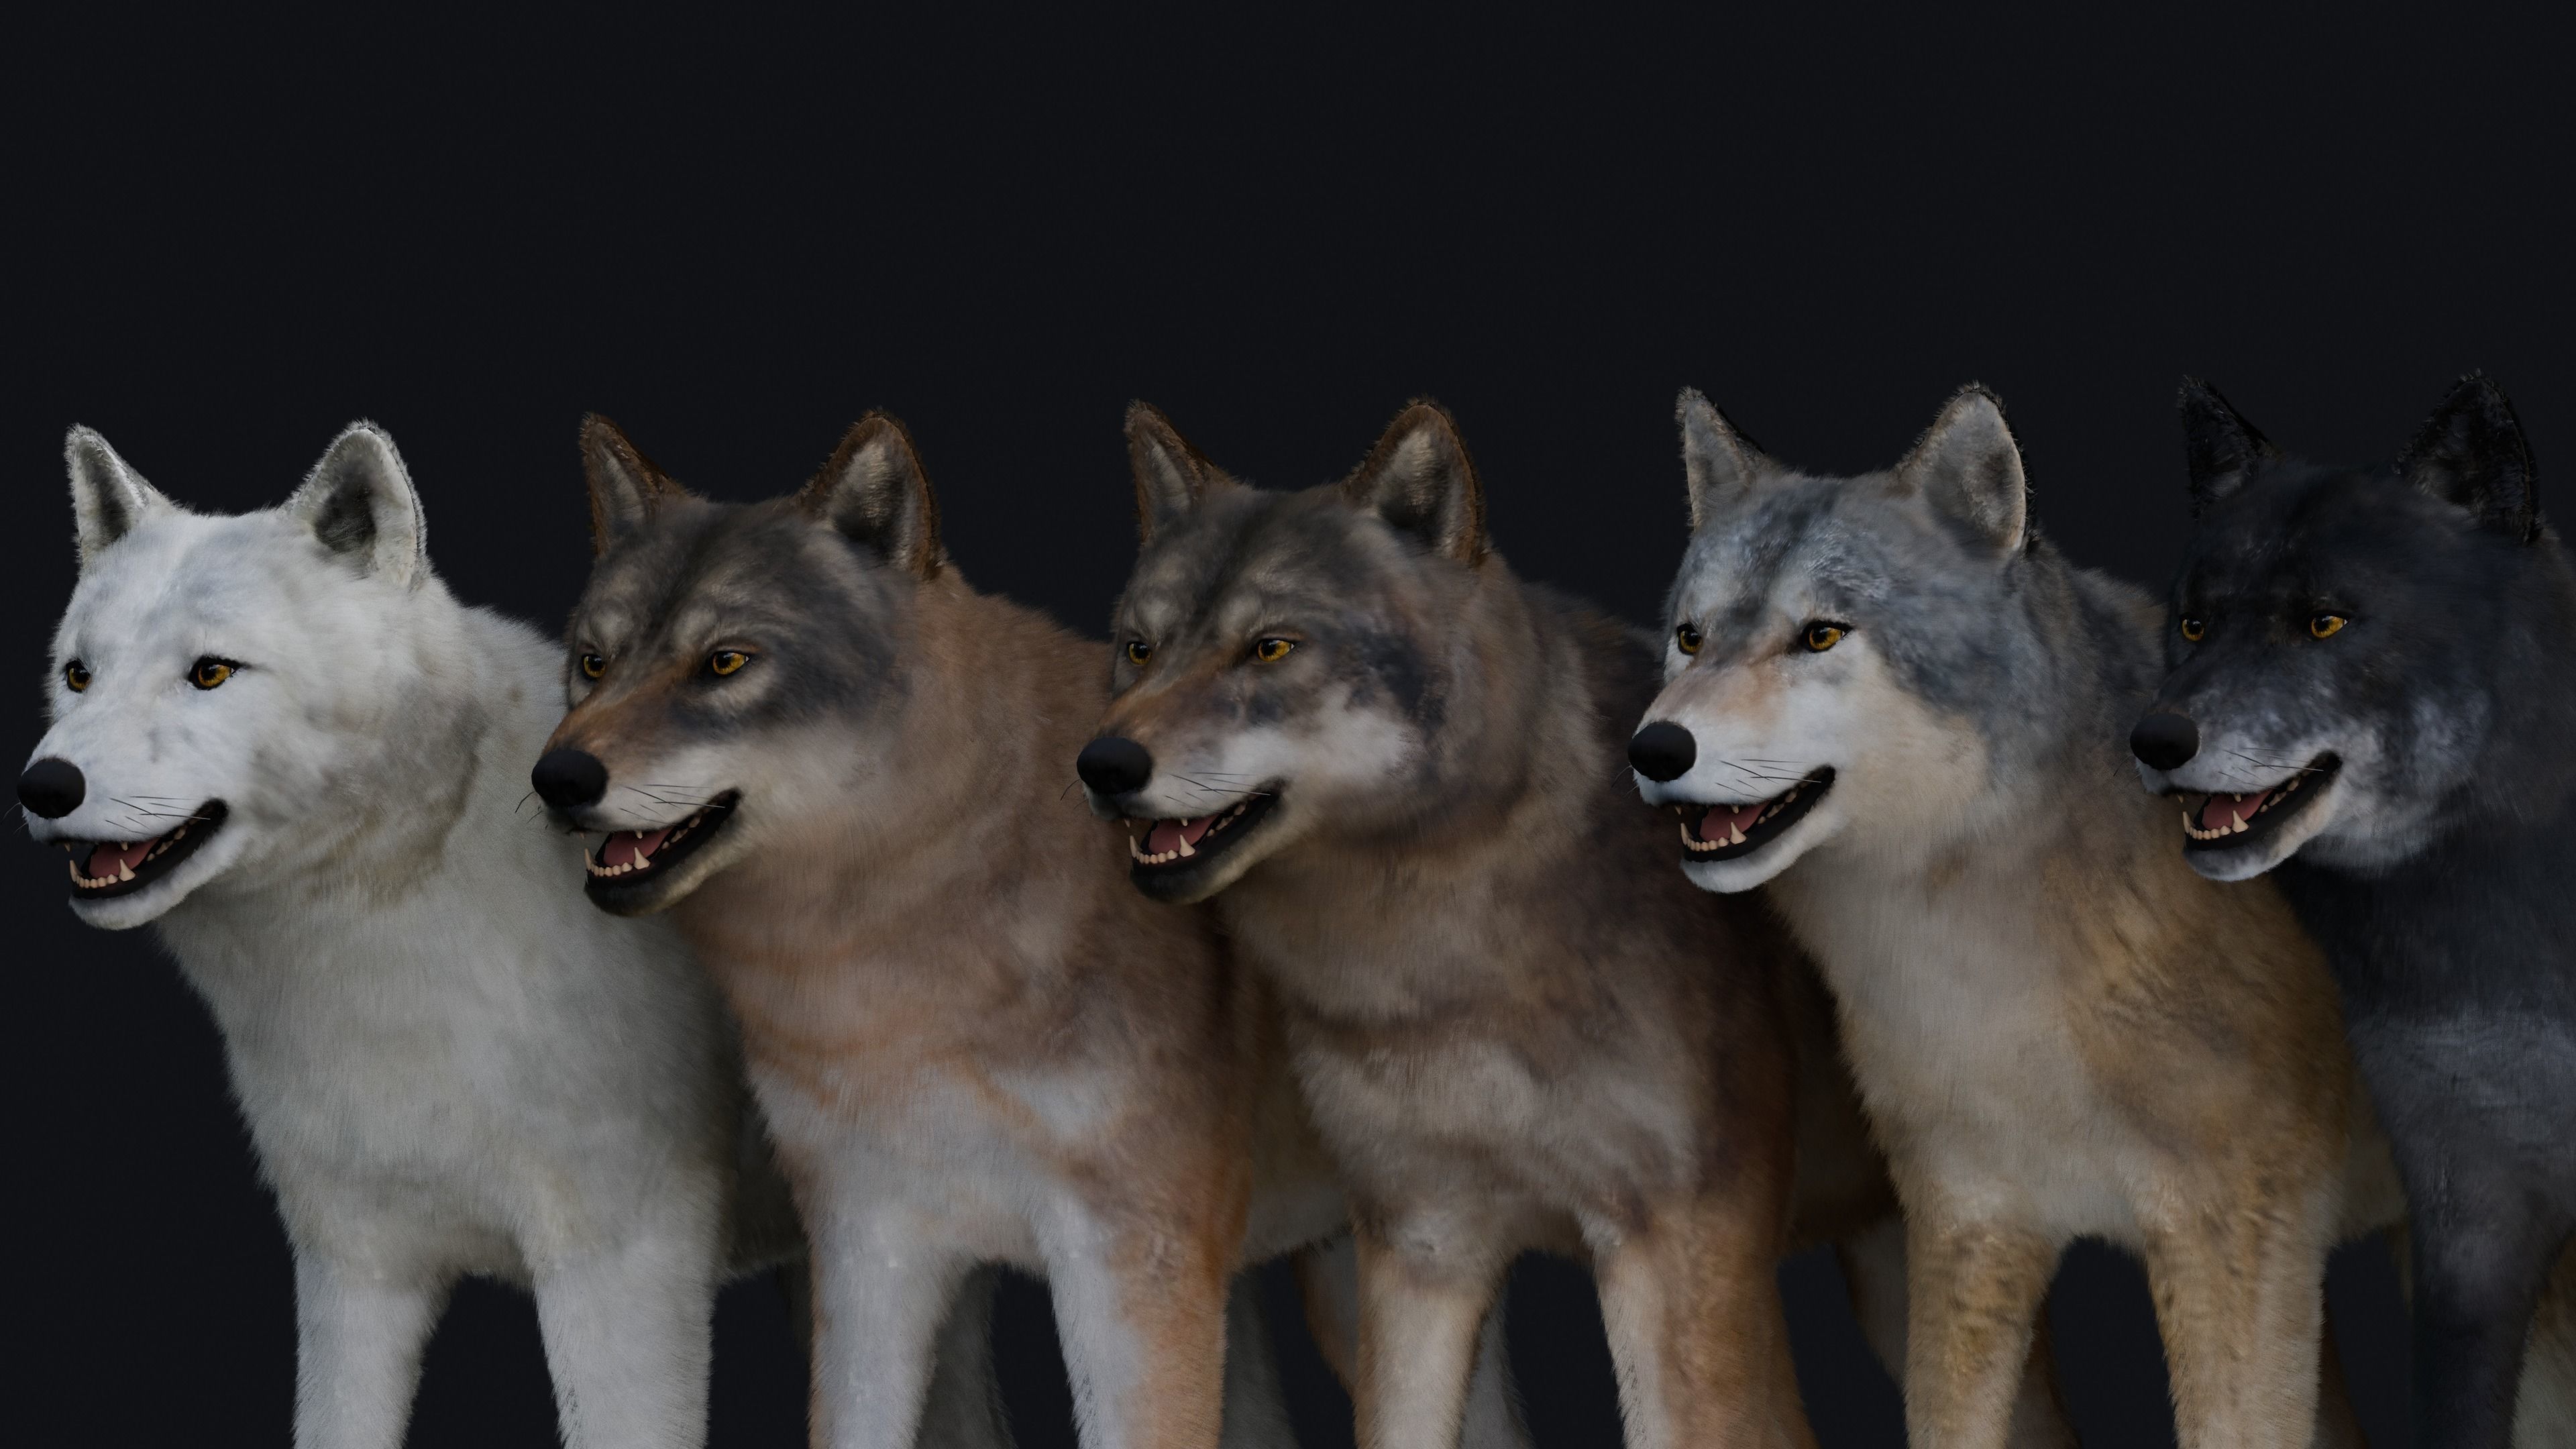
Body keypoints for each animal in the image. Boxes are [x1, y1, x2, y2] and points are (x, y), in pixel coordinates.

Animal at [1072, 399, 2018, 1449]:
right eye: (1140, 648)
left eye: (1270, 648)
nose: (1102, 765)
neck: (1438, 965)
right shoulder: (1417, 1244)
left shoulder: (1679, 1247)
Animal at [1625, 386, 2404, 1449]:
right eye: (1691, 637)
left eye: (1821, 635)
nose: (1654, 748)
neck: (1986, 975)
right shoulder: (1970, 1226)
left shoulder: (2239, 1245)